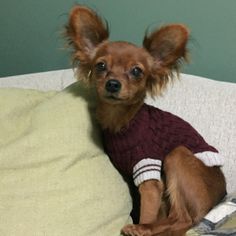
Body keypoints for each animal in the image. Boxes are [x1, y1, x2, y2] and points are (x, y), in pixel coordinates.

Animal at [66, 5, 227, 236]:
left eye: (136, 71)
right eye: (100, 66)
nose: (113, 84)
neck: (123, 121)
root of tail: (221, 194)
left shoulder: (148, 169)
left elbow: (148, 209)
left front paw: (143, 223)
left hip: (177, 155)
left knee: (182, 219)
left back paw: (142, 228)